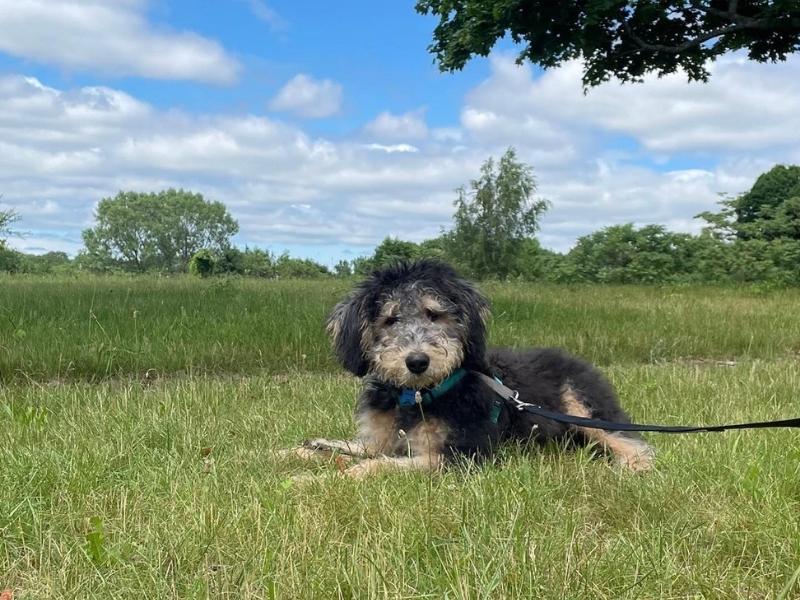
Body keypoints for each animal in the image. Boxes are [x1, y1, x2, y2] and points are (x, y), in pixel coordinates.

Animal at [296, 260, 652, 476]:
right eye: (390, 319)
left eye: (434, 314)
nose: (417, 362)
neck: (416, 397)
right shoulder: (379, 440)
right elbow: (350, 448)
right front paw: (303, 452)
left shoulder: (464, 454)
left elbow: (379, 465)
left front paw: (318, 480)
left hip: (583, 408)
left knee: (634, 443)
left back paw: (631, 466)